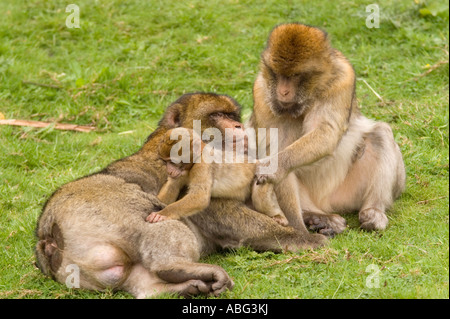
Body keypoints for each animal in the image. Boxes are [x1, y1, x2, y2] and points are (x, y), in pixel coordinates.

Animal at [146, 125, 290, 228]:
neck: (193, 162)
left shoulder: (203, 165)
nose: (169, 171)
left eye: (173, 162)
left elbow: (200, 197)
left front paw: (162, 214)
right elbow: (172, 187)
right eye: (166, 162)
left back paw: (280, 217)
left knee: (260, 194)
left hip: (263, 177)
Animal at [248, 22, 406, 236]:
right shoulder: (262, 91)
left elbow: (327, 131)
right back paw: (316, 217)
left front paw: (277, 165)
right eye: (277, 75)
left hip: (347, 194)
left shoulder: (342, 78)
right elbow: (276, 148)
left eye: (295, 76)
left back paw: (373, 211)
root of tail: (323, 203)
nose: (283, 91)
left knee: (380, 134)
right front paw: (299, 232)